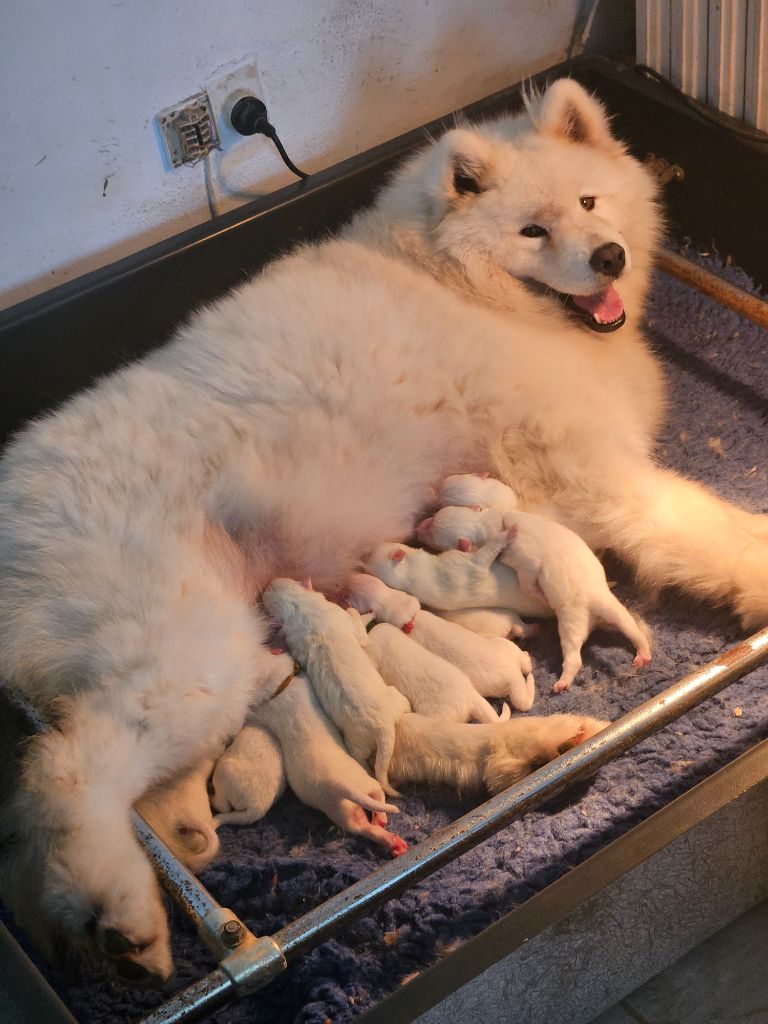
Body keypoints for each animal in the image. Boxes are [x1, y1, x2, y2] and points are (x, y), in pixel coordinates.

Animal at [253, 671, 409, 856]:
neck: (280, 687)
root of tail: (337, 785)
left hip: (346, 804)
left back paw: (388, 833)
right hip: (350, 803)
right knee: (372, 810)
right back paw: (388, 831)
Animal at [262, 581, 411, 794]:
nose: (267, 584)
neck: (297, 607)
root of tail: (381, 728)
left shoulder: (293, 636)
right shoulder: (339, 615)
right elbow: (359, 631)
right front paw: (367, 612)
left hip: (356, 743)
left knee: (361, 760)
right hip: (393, 699)